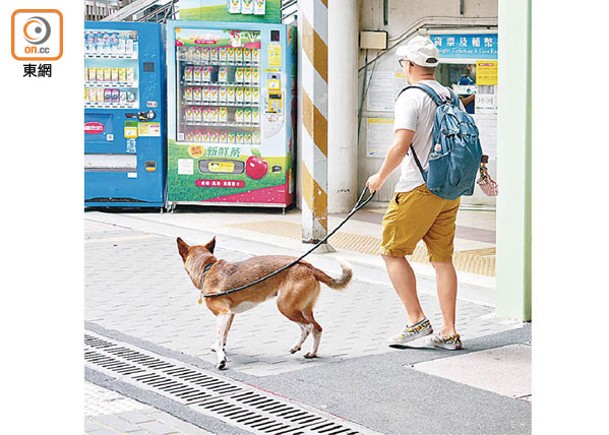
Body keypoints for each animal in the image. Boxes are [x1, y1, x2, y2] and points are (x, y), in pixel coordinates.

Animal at [177, 237, 352, 370]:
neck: (208, 268)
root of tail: (307, 266)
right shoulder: (229, 315)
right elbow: (223, 335)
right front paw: (219, 347)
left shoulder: (223, 314)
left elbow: (220, 338)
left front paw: (221, 359)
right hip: (304, 309)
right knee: (317, 328)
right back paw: (312, 353)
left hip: (285, 306)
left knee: (307, 327)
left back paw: (296, 347)